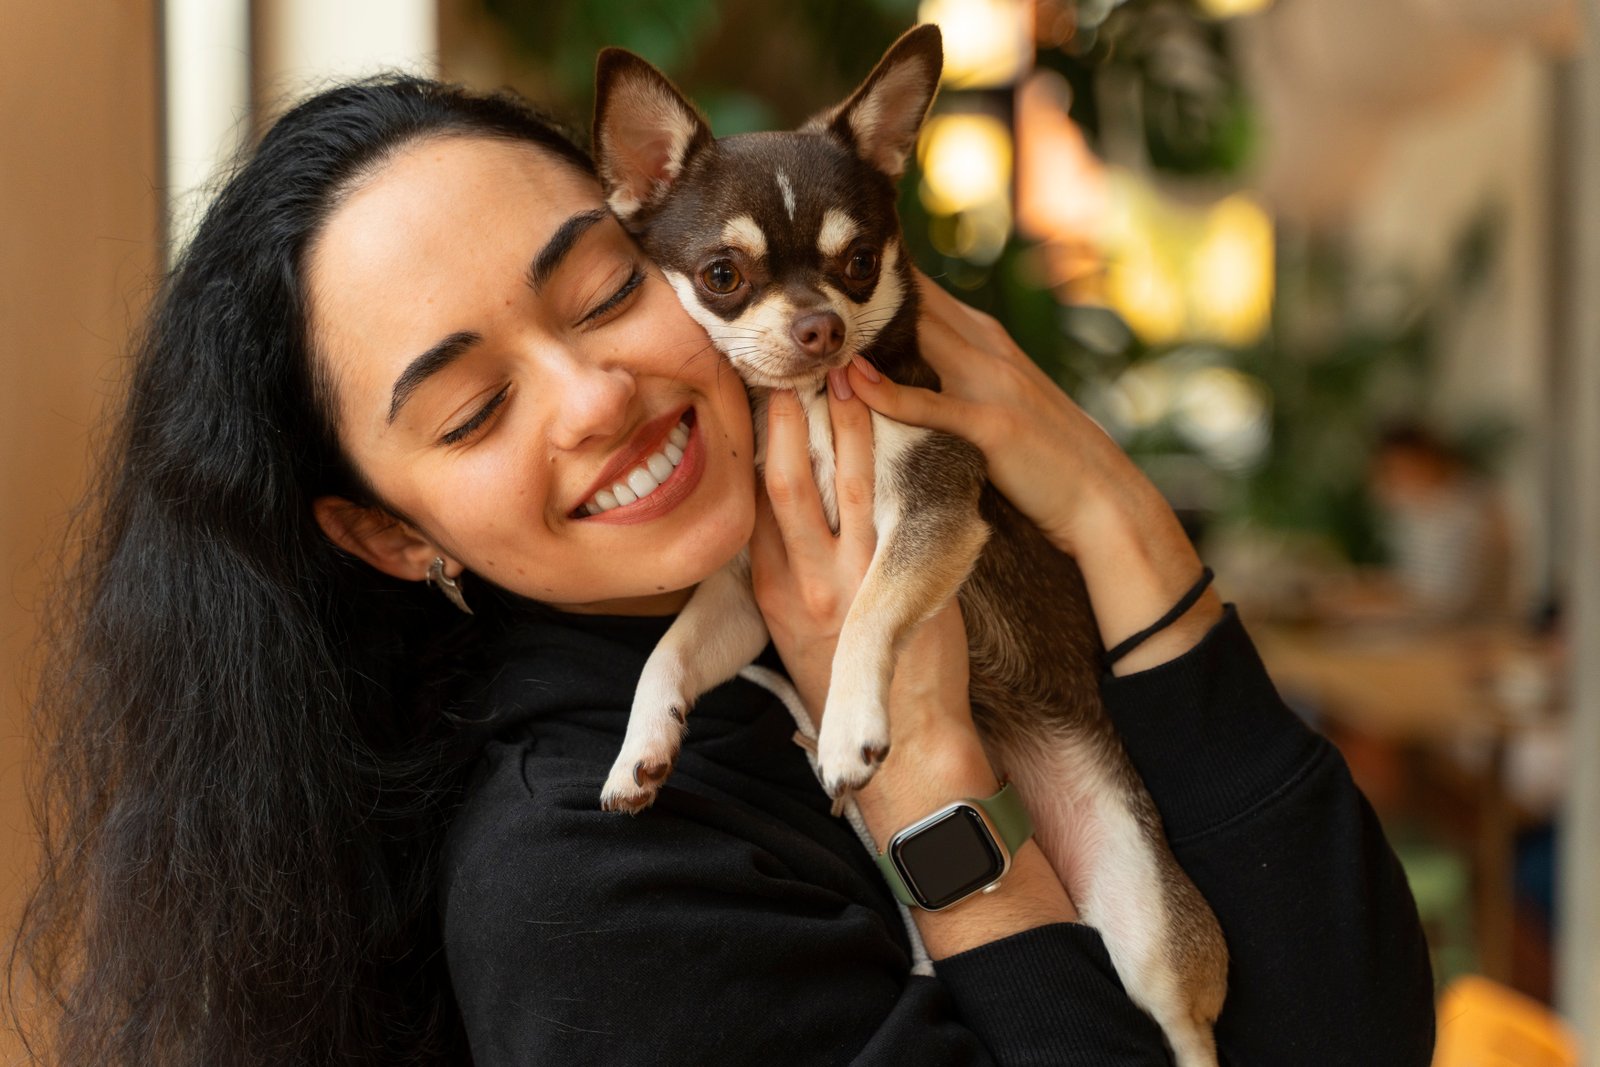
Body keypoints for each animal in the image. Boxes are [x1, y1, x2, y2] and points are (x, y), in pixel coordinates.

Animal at [588, 27, 1222, 1067]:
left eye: (857, 263)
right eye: (722, 275)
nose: (821, 325)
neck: (809, 411)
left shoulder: (935, 510)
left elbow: (868, 608)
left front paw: (850, 726)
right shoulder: (745, 589)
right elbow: (668, 651)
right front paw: (640, 748)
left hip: (1152, 935)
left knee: (1182, 1023)